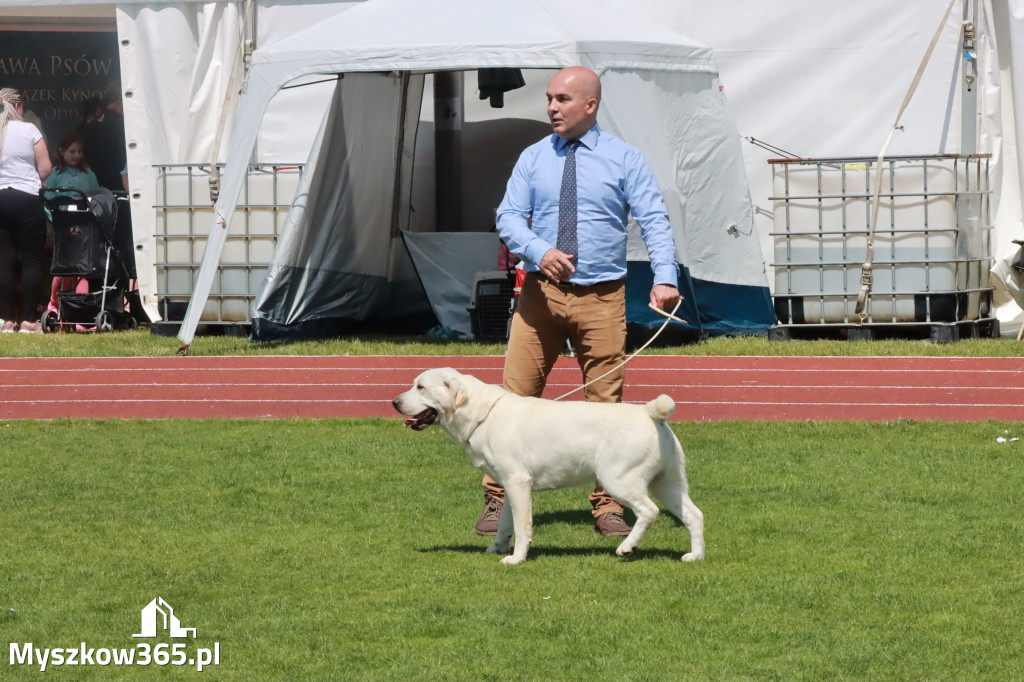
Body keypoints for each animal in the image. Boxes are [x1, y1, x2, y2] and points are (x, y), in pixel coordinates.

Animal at [391, 366, 704, 561]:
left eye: (421, 387)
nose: (394, 402)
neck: (483, 414)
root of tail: (648, 413)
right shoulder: (509, 486)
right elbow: (505, 524)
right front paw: (497, 548)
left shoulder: (518, 482)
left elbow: (522, 527)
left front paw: (516, 558)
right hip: (667, 483)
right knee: (695, 515)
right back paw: (695, 556)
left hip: (617, 479)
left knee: (649, 512)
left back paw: (627, 547)